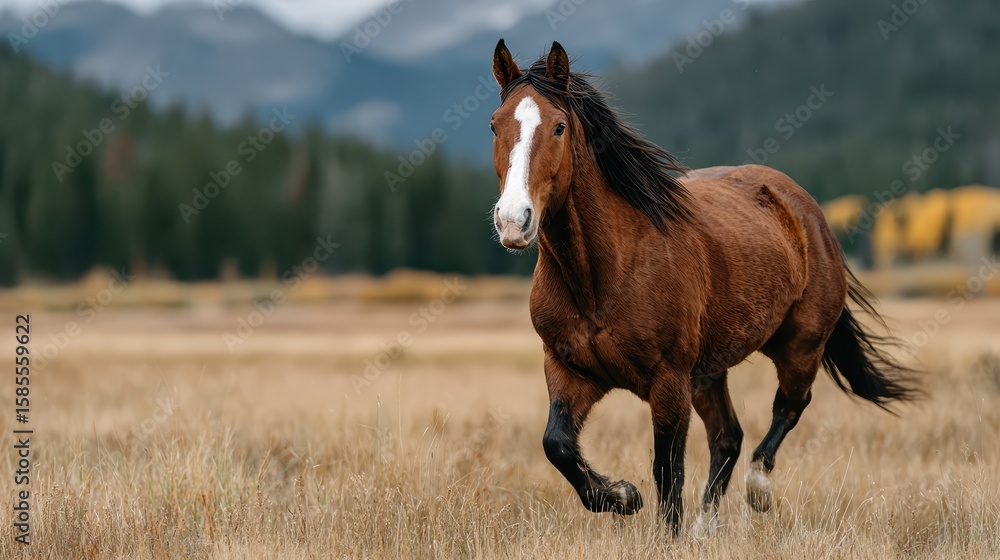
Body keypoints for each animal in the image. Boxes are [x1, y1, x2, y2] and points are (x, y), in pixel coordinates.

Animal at [488, 39, 918, 536]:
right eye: (495, 124)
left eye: (558, 126)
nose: (514, 221)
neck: (602, 278)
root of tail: (806, 208)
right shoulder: (569, 370)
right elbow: (557, 445)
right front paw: (622, 496)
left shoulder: (668, 381)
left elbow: (667, 470)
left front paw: (661, 529)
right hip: (709, 373)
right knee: (728, 437)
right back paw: (705, 526)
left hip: (798, 346)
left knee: (789, 406)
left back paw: (757, 490)